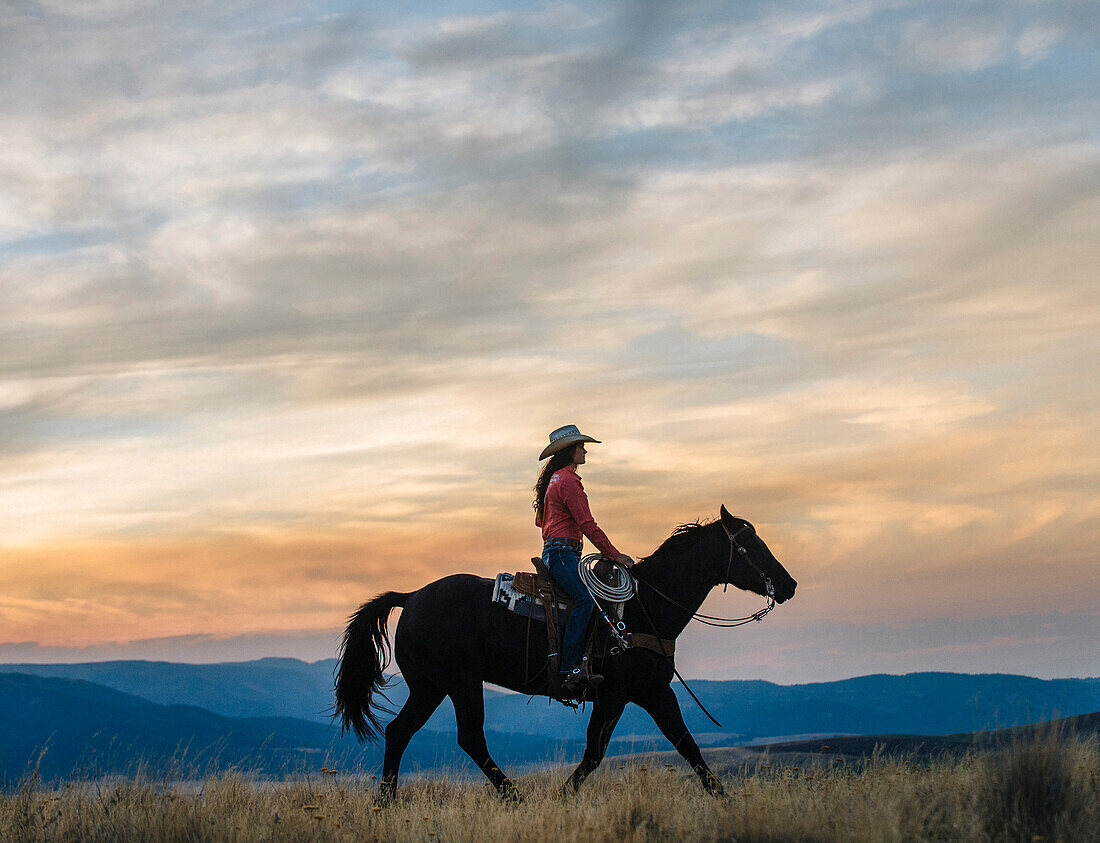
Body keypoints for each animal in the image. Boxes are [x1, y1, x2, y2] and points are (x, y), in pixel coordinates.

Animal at [330, 508, 796, 801]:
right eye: (752, 544)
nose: (789, 585)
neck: (646, 607)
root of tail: (411, 598)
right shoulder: (614, 695)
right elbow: (594, 753)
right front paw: (561, 797)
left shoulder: (654, 691)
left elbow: (688, 746)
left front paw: (726, 799)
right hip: (460, 683)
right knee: (470, 737)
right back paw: (514, 797)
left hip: (429, 687)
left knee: (399, 733)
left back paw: (385, 803)